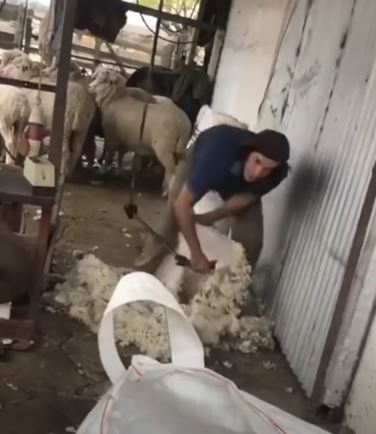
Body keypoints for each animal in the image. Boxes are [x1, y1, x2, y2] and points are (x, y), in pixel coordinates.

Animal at [89, 66, 191, 195]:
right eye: (95, 77)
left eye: (104, 80)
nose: (89, 87)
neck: (115, 99)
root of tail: (182, 122)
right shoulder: (123, 137)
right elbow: (120, 153)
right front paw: (119, 170)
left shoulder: (112, 135)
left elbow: (110, 154)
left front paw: (103, 169)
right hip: (178, 149)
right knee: (177, 168)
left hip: (164, 148)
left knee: (173, 170)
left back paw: (168, 191)